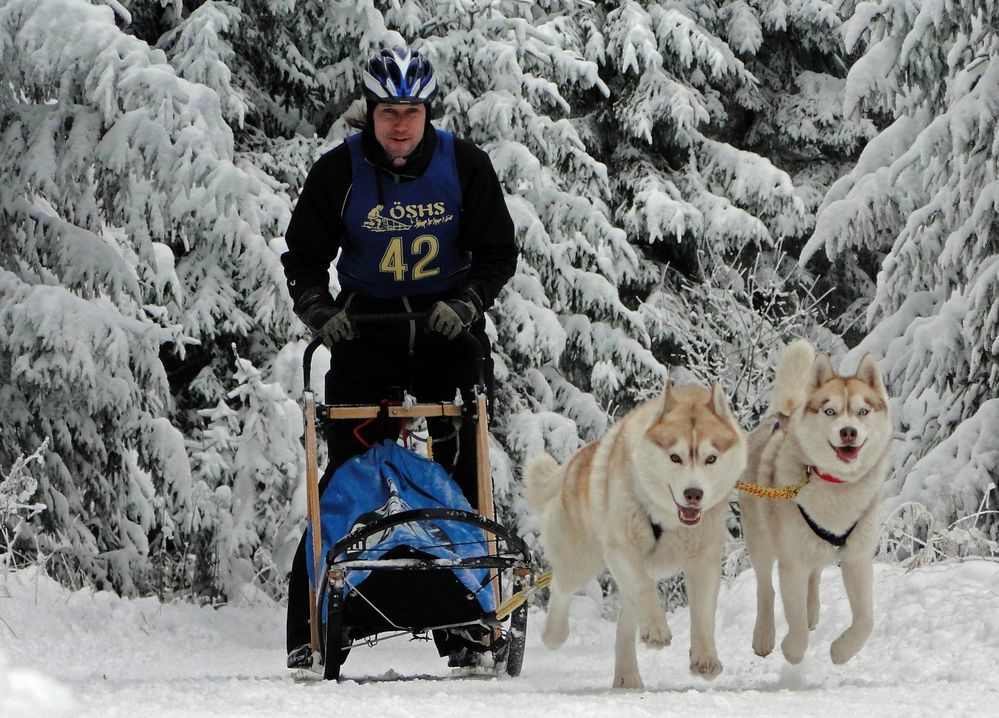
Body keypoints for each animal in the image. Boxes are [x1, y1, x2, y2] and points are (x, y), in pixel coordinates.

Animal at [528, 386, 748, 688]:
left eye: (711, 458)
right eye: (675, 457)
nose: (694, 493)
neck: (666, 519)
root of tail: (574, 461)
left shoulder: (704, 559)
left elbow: (703, 613)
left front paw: (705, 657)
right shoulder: (622, 549)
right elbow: (644, 589)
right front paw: (656, 629)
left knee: (625, 621)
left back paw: (627, 674)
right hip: (581, 561)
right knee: (560, 587)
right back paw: (554, 635)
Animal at [744, 340, 892, 668]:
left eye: (863, 411)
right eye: (830, 411)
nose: (848, 432)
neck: (837, 486)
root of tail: (782, 414)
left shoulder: (858, 557)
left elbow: (866, 620)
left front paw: (841, 651)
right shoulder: (792, 562)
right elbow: (795, 620)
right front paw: (793, 650)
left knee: (815, 574)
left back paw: (812, 611)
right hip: (760, 539)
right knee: (764, 587)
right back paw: (764, 635)